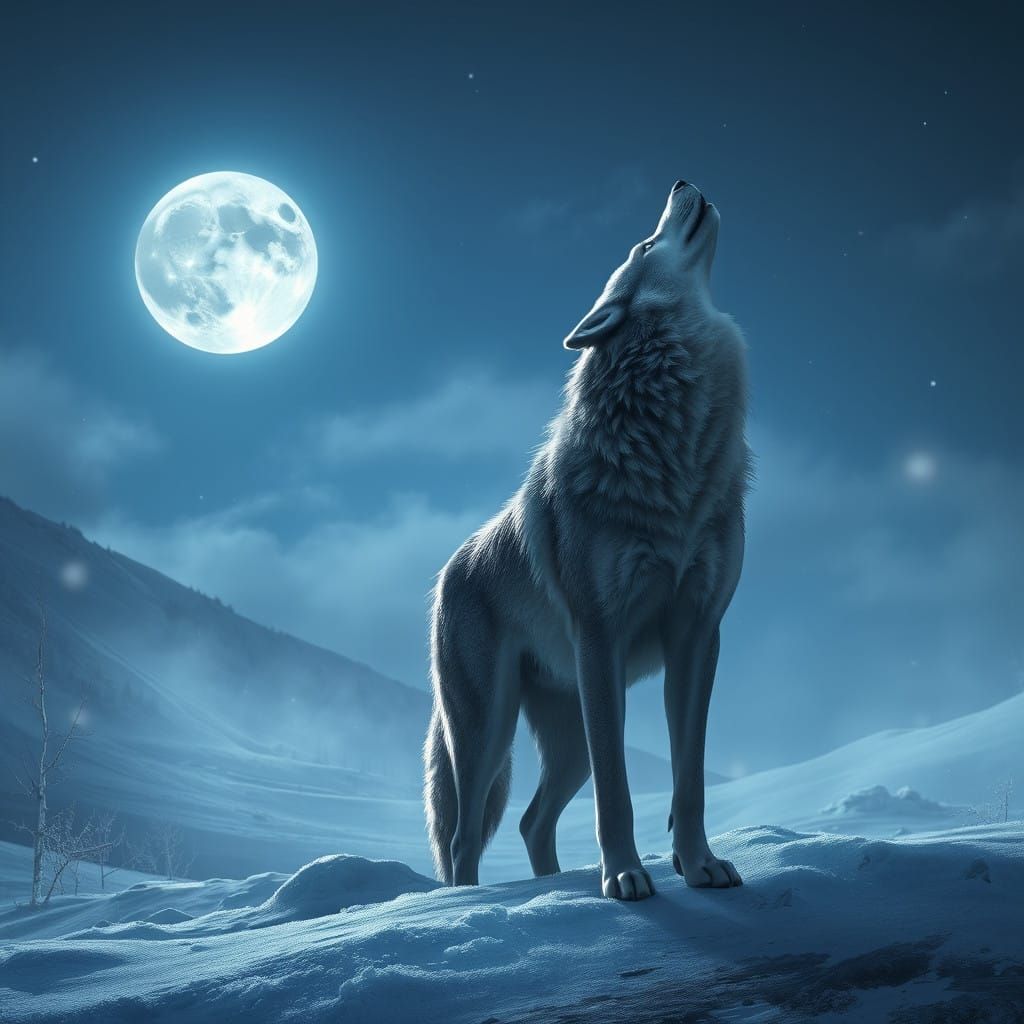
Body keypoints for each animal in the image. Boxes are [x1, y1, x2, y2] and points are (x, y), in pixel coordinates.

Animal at [424, 181, 750, 900]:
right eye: (644, 244)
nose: (681, 182)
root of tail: (450, 568)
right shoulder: (600, 637)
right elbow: (618, 793)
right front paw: (625, 875)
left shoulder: (699, 634)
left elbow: (689, 780)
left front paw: (700, 865)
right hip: (489, 730)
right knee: (464, 835)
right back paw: (464, 904)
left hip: (565, 736)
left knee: (530, 822)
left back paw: (554, 888)